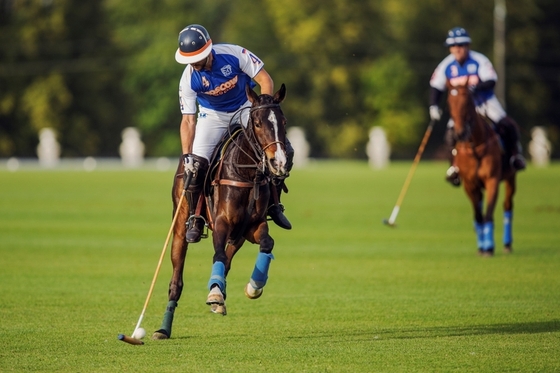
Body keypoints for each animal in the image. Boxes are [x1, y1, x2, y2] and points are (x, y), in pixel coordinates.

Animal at [152, 83, 288, 338]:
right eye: (257, 123)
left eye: (283, 121)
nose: (279, 163)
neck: (246, 174)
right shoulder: (222, 223)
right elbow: (218, 255)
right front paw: (215, 294)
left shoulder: (253, 225)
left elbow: (267, 243)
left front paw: (253, 287)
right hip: (180, 227)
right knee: (177, 280)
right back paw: (164, 328)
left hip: (239, 235)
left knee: (229, 260)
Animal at [448, 81, 520, 256]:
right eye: (449, 103)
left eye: (468, 102)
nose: (459, 133)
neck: (474, 146)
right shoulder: (469, 184)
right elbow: (478, 215)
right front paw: (482, 246)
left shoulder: (492, 180)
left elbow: (488, 214)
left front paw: (488, 247)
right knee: (480, 208)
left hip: (511, 178)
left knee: (507, 205)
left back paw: (507, 244)